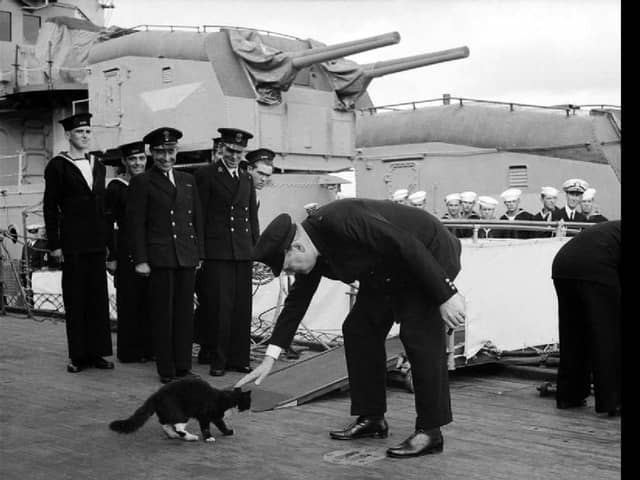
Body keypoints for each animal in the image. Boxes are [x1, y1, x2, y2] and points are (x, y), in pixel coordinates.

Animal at [109, 378, 251, 442]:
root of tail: (156, 395)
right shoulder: (205, 415)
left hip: (166, 413)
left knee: (165, 424)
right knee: (178, 426)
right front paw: (209, 438)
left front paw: (228, 431)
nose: (250, 408)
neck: (227, 398)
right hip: (180, 413)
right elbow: (206, 427)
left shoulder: (216, 417)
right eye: (249, 402)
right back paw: (190, 437)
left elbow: (222, 425)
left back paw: (173, 435)